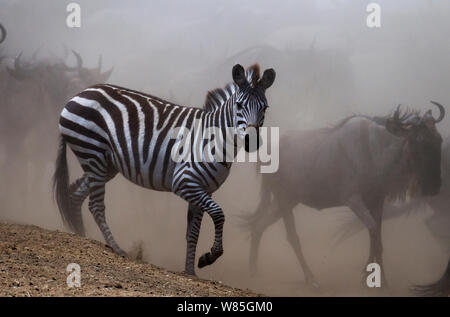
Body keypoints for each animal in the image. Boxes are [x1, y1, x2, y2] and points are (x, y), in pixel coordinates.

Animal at [54, 63, 276, 274]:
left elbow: (193, 232)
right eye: (239, 105)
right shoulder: (184, 182)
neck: (215, 139)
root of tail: (81, 92)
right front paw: (210, 257)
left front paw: (190, 271)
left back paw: (81, 235)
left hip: (104, 164)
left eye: (265, 108)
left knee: (76, 194)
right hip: (93, 152)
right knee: (95, 205)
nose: (251, 141)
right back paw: (116, 248)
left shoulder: (203, 189)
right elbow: (219, 213)